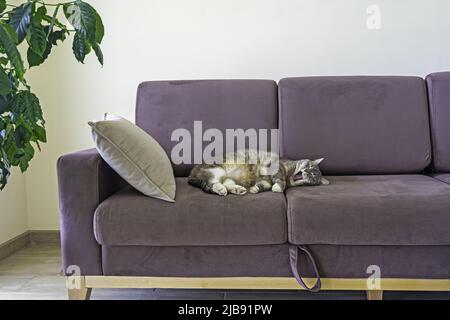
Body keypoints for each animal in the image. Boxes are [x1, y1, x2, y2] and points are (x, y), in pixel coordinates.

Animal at [188, 149, 328, 196]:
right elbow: (280, 179)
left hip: (228, 177)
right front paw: (278, 187)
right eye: (309, 165)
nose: (306, 172)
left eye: (313, 175)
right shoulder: (278, 166)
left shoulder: (265, 180)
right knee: (211, 183)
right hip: (217, 169)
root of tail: (191, 174)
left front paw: (255, 189)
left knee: (227, 184)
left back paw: (238, 189)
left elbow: (264, 185)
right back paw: (221, 189)